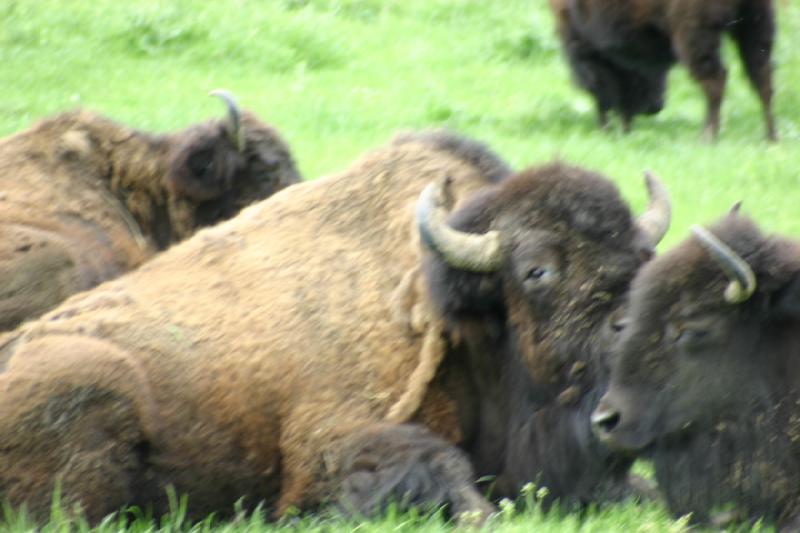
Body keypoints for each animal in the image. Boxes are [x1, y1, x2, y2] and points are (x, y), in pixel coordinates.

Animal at [0, 132, 668, 524]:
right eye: (536, 270)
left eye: (643, 258)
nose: (637, 336)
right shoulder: (330, 442)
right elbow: (442, 469)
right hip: (98, 381)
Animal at [552, 0, 776, 140]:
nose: (655, 106)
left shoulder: (592, 53)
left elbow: (606, 93)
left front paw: (608, 130)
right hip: (756, 28)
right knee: (763, 80)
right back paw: (771, 138)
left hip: (694, 37)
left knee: (716, 80)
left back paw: (707, 137)